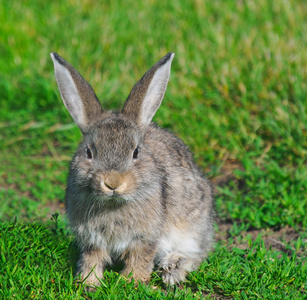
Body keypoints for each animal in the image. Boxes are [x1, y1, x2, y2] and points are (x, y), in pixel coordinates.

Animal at [50, 52, 215, 288]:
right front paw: (89, 282)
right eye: (89, 152)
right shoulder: (92, 239)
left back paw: (171, 268)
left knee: (195, 255)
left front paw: (132, 281)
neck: (113, 204)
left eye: (136, 152)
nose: (113, 182)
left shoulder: (146, 237)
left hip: (192, 226)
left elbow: (141, 257)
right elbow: (93, 257)